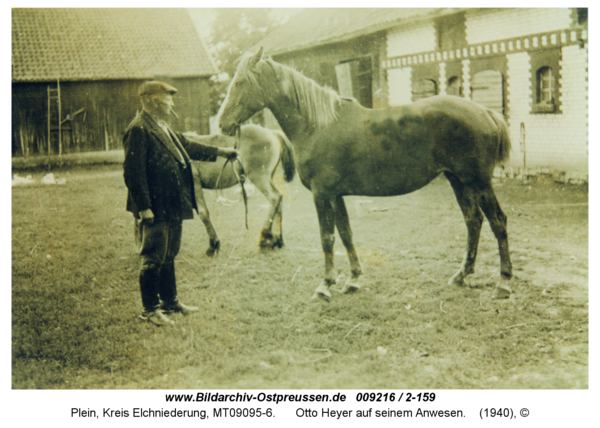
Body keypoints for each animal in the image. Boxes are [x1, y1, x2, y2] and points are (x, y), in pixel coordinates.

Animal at [218, 47, 512, 300]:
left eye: (240, 82)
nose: (222, 123)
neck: (318, 126)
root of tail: (486, 112)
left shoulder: (321, 194)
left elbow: (327, 238)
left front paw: (325, 285)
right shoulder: (336, 195)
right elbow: (345, 233)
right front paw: (353, 279)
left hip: (478, 182)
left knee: (497, 221)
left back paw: (503, 283)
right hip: (458, 181)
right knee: (473, 221)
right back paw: (461, 275)